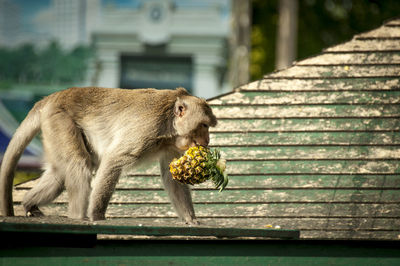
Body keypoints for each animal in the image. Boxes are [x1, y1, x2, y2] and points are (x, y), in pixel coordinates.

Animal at [0, 86, 217, 223]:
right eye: (204, 125)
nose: (207, 140)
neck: (170, 123)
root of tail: (54, 97)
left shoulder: (172, 144)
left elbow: (173, 178)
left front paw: (190, 219)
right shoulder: (147, 128)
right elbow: (114, 160)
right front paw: (97, 216)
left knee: (59, 174)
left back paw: (29, 203)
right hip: (59, 120)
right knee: (79, 165)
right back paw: (78, 217)